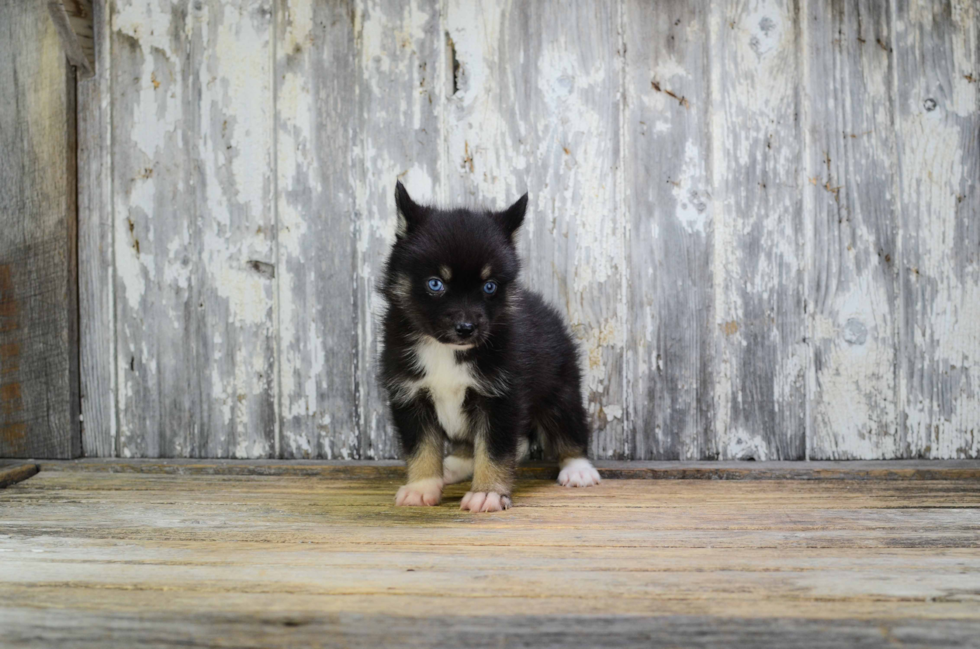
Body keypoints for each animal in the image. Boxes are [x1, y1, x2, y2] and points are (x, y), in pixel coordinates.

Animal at [380, 181, 596, 512]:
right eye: (435, 284)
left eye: (490, 286)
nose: (466, 328)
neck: (447, 351)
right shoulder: (410, 394)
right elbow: (421, 446)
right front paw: (421, 486)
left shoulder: (501, 397)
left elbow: (494, 449)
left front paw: (488, 492)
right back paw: (455, 465)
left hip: (560, 385)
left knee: (567, 424)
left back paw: (578, 467)